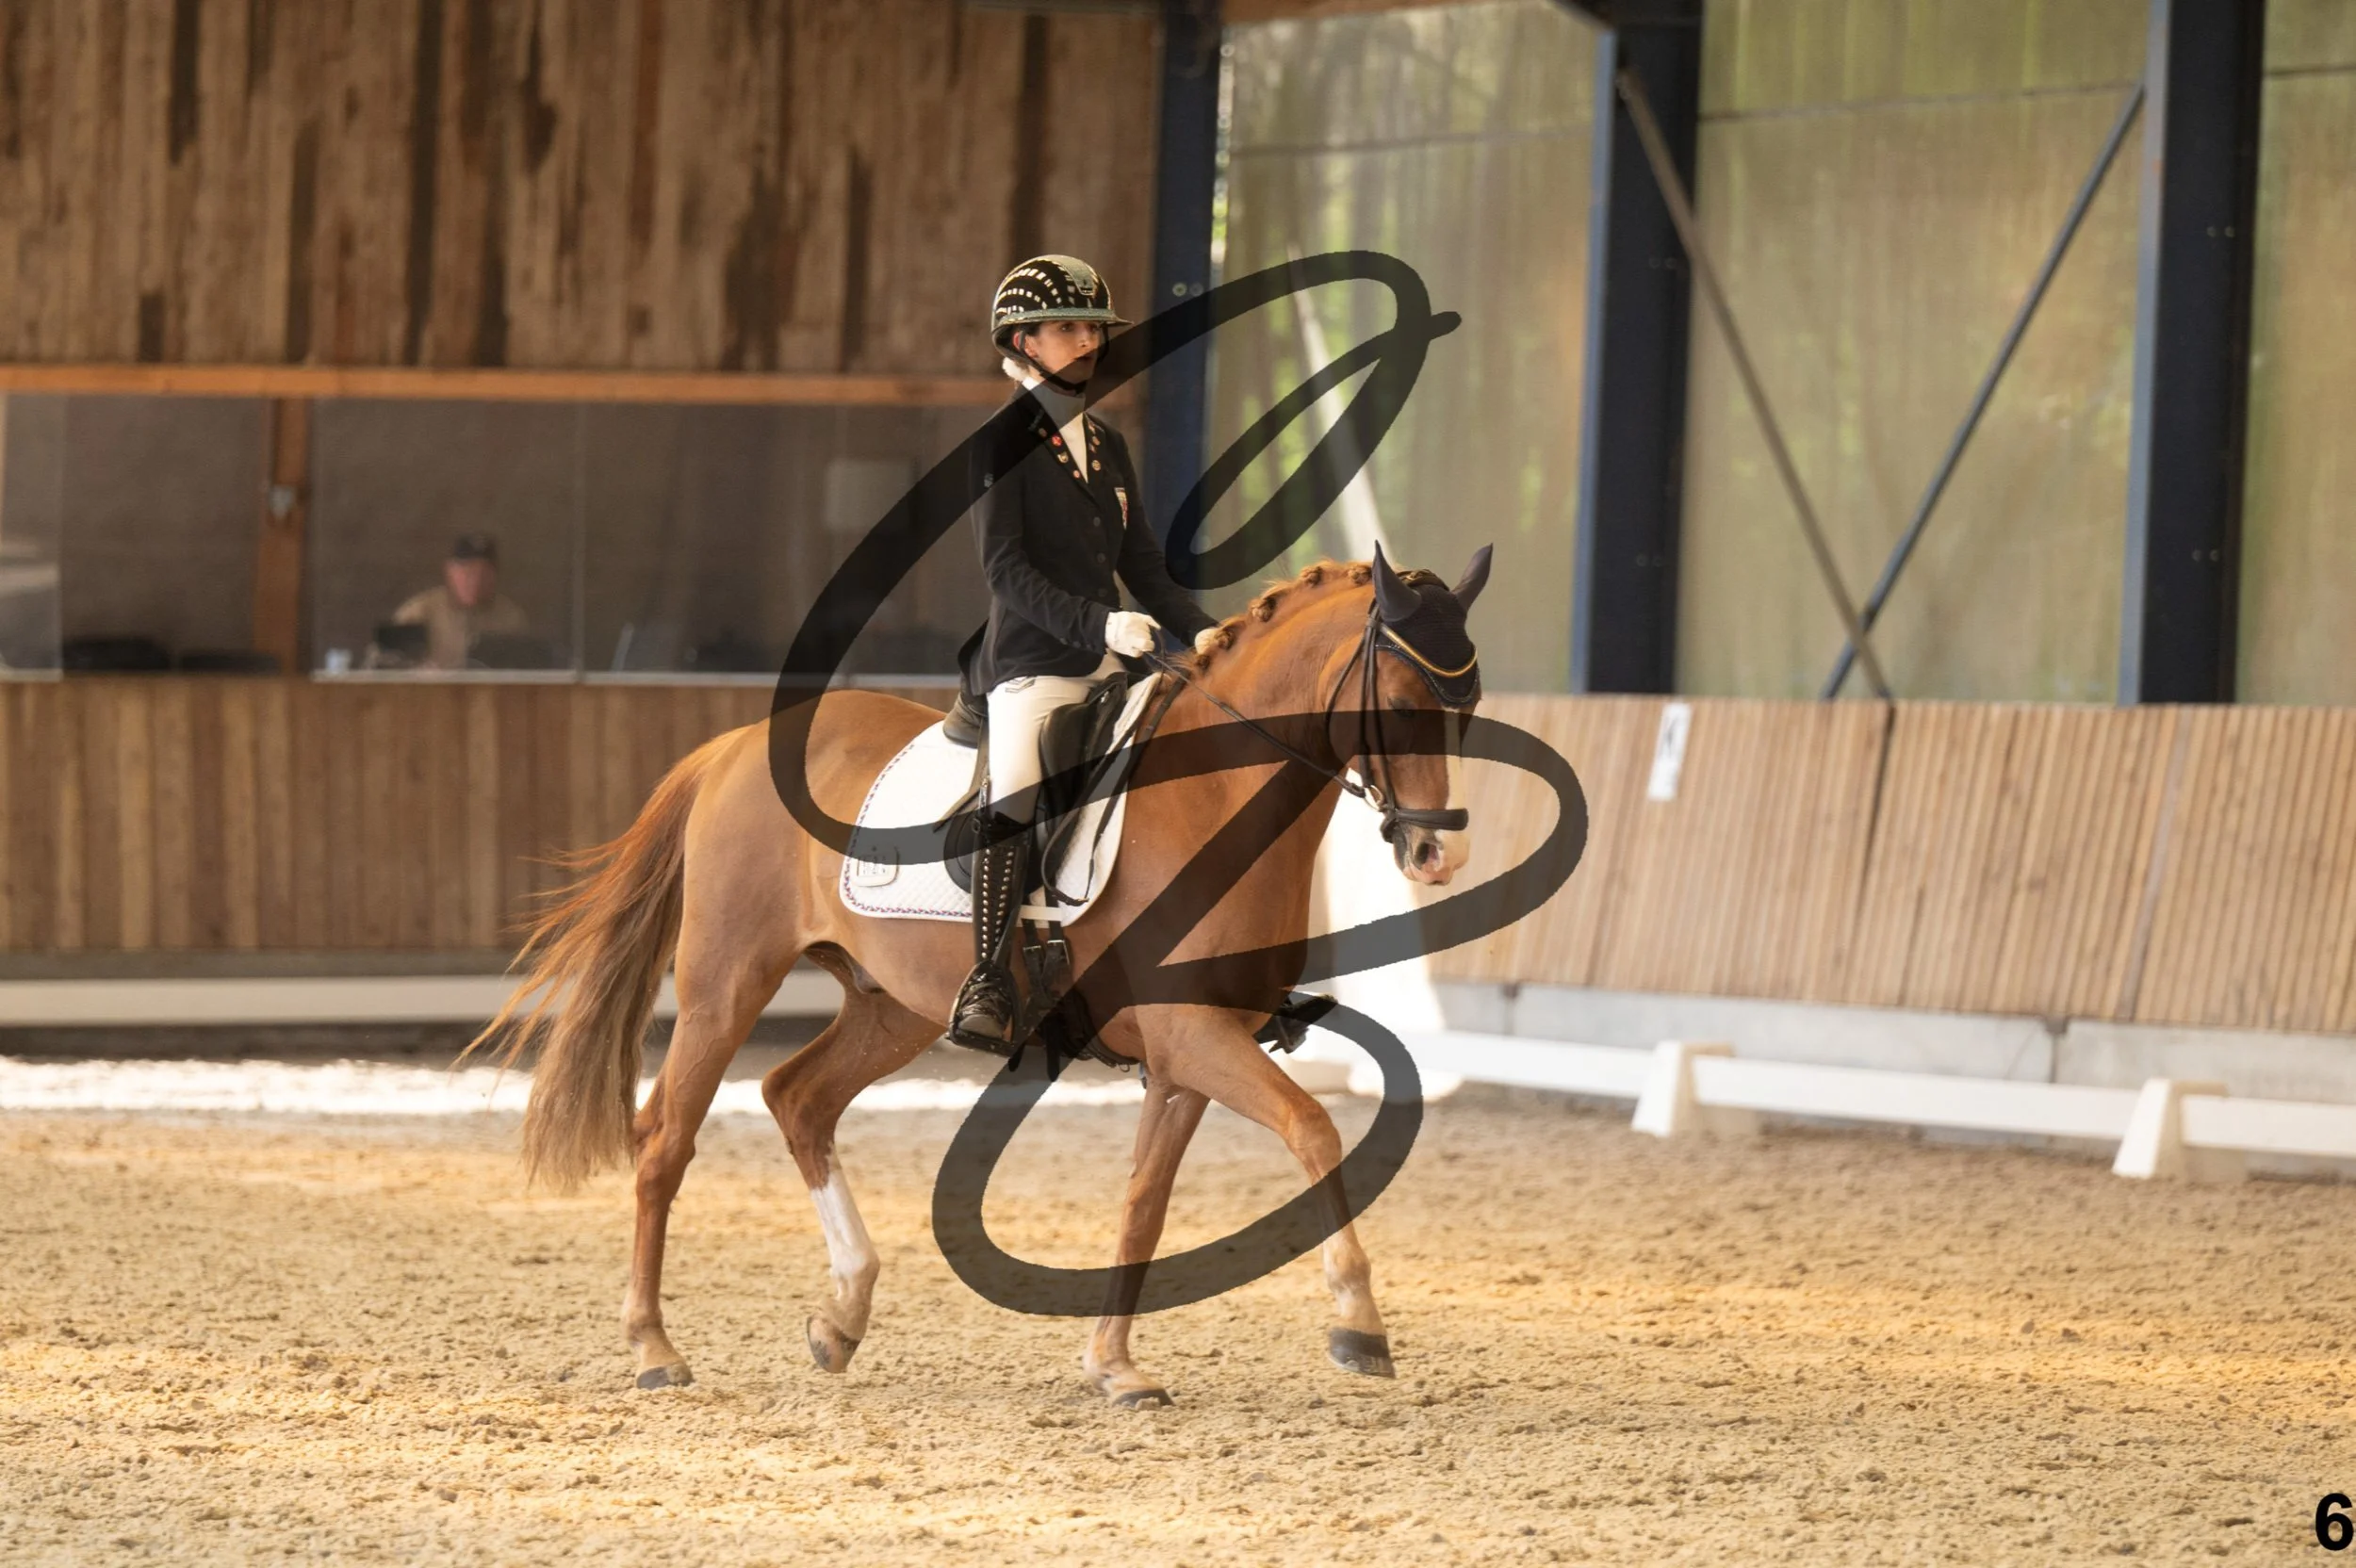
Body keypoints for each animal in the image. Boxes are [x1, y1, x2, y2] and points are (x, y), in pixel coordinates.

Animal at [468, 546, 1489, 1406]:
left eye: (1470, 705)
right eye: (1404, 703)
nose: (1437, 853)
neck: (1214, 798)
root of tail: (728, 750)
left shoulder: (1186, 1054)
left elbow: (1144, 1202)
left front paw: (1114, 1364)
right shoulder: (1194, 1035)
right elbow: (1315, 1130)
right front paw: (1359, 1323)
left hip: (892, 1006)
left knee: (797, 1096)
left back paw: (842, 1315)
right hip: (728, 981)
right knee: (665, 1139)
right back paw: (655, 1349)